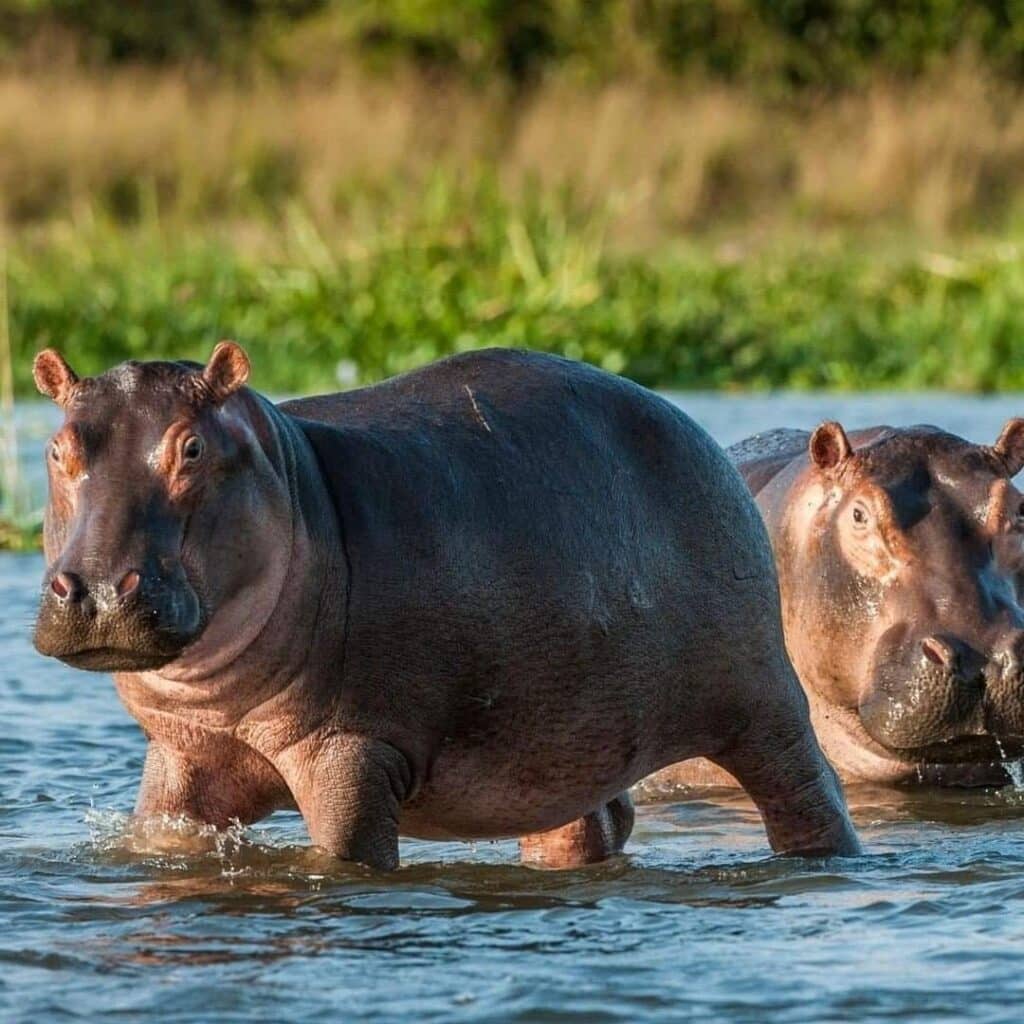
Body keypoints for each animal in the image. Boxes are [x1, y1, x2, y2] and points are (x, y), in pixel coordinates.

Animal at [31, 344, 858, 868]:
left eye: (192, 447)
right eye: (57, 449)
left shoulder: (352, 749)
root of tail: (699, 433)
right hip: (562, 740)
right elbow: (162, 837)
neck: (292, 480)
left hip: (762, 703)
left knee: (808, 792)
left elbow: (347, 856)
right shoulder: (183, 754)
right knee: (588, 823)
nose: (97, 589)